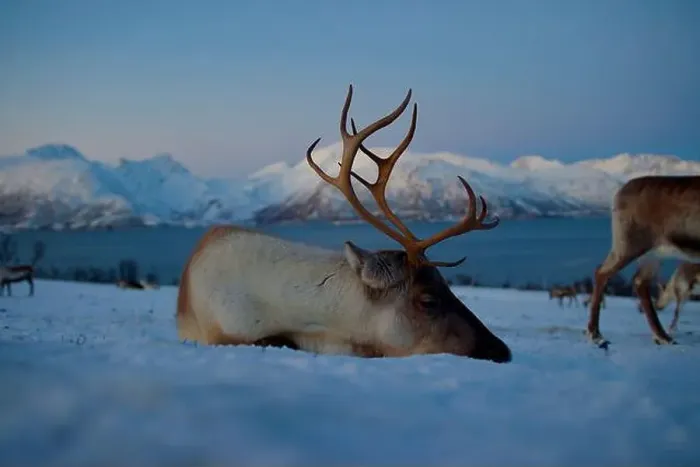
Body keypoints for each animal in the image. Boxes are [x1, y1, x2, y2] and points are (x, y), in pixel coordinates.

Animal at [585, 175, 700, 346]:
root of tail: (619, 193)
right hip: (629, 245)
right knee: (602, 272)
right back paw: (595, 333)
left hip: (653, 254)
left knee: (640, 281)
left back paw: (662, 336)